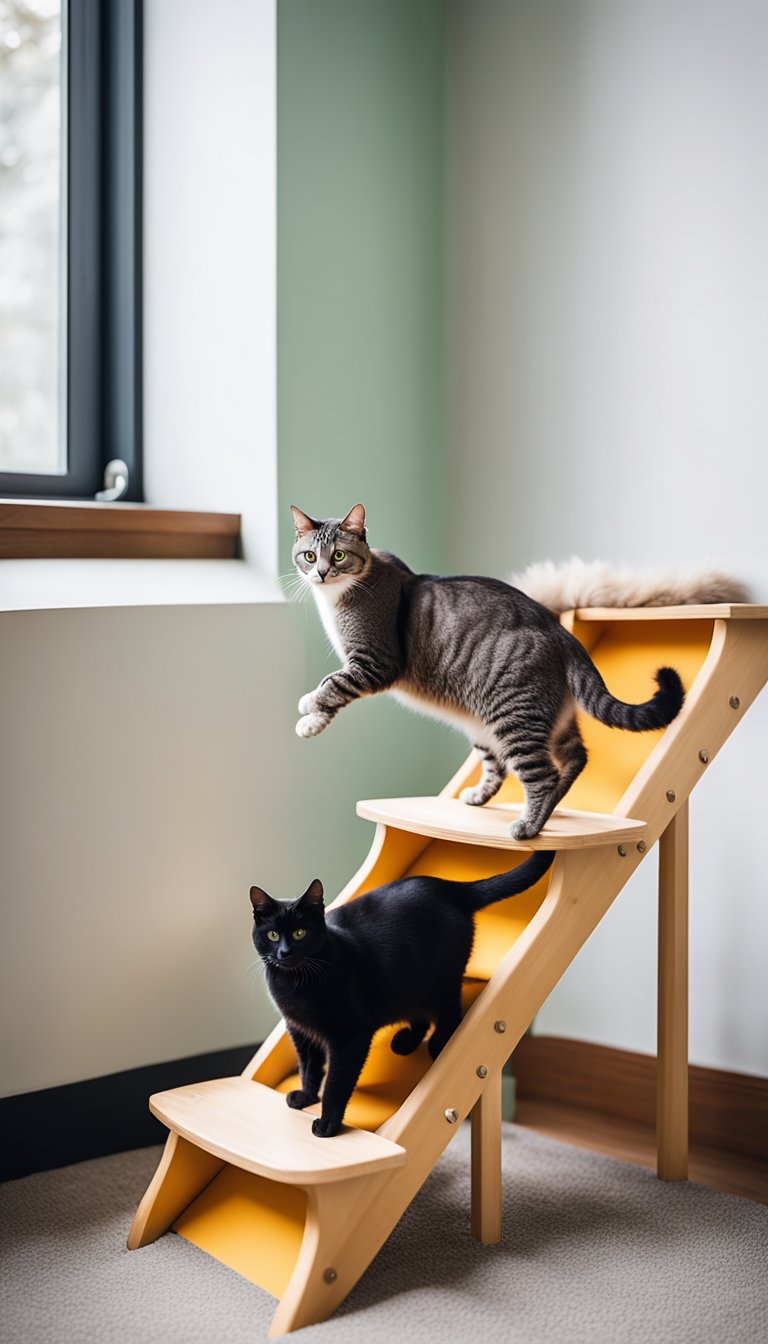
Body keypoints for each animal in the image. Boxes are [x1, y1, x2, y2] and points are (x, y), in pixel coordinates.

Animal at [248, 849, 556, 1134]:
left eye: (300, 933)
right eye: (272, 935)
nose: (284, 953)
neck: (294, 982)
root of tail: (450, 887)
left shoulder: (351, 1036)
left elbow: (336, 1082)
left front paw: (328, 1125)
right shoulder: (299, 1031)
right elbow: (309, 1068)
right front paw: (306, 1097)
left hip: (439, 978)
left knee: (449, 1011)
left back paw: (438, 1044)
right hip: (407, 984)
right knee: (421, 1015)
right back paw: (406, 1042)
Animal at [290, 505, 685, 838]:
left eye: (338, 555)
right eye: (309, 556)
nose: (321, 573)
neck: (337, 600)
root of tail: (561, 633)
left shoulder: (374, 662)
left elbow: (333, 684)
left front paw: (308, 707)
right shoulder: (361, 666)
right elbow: (334, 693)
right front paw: (312, 721)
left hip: (513, 714)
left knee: (541, 775)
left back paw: (529, 826)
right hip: (522, 720)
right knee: (568, 757)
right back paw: (491, 797)